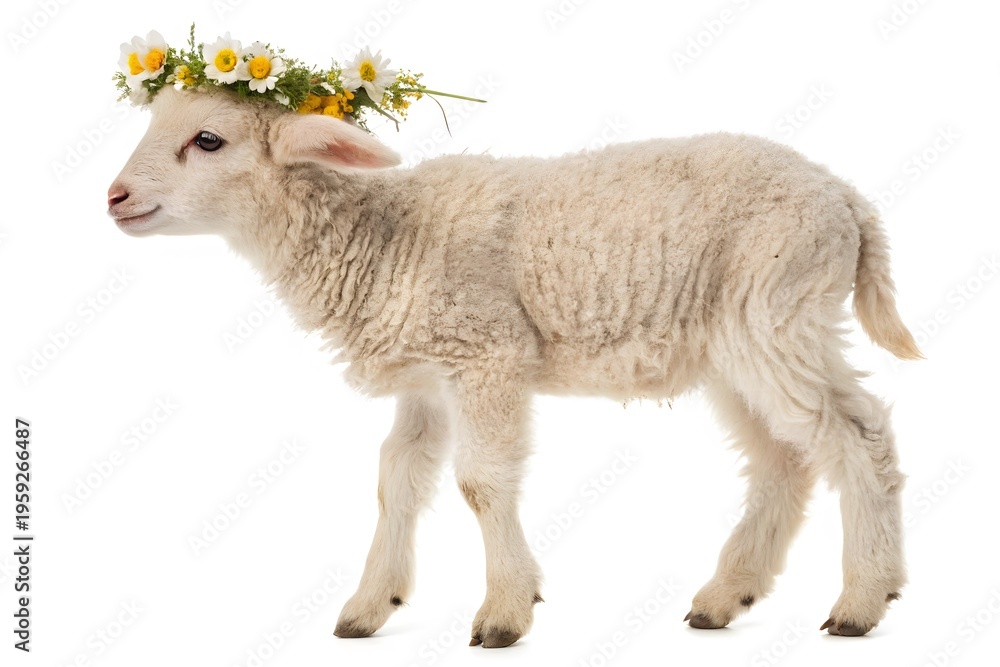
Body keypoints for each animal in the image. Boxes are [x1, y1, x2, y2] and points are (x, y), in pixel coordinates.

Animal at [107, 84, 920, 647]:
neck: (385, 235)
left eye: (207, 140)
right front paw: (370, 607)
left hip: (776, 310)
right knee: (784, 458)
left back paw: (861, 601)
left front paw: (504, 611)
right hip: (734, 345)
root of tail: (848, 199)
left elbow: (479, 482)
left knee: (859, 436)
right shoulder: (429, 379)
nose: (114, 196)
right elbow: (396, 480)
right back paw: (727, 596)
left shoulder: (486, 352)